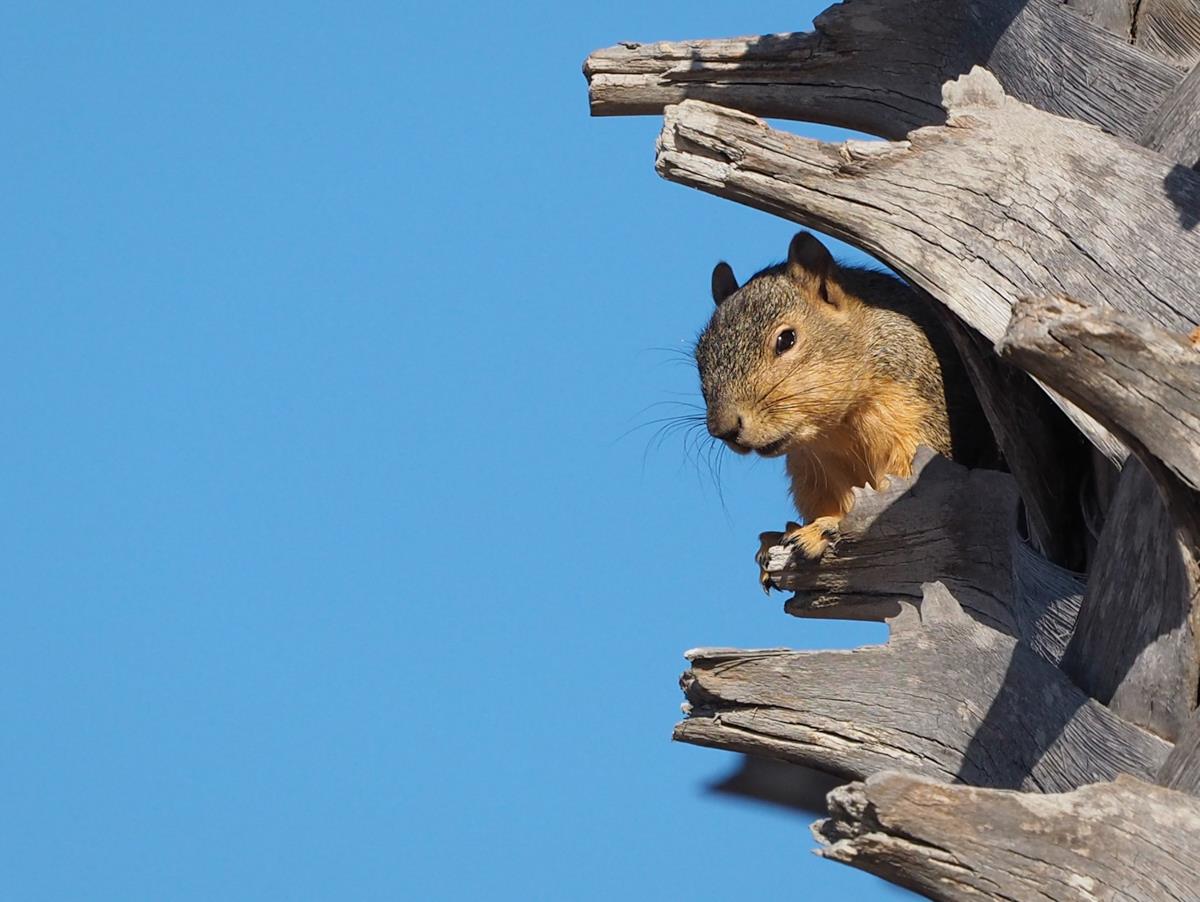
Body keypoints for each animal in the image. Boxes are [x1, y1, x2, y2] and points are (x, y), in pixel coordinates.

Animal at [700, 229, 988, 587]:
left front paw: (825, 529)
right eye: (699, 356)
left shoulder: (919, 424)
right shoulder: (814, 470)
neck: (838, 429)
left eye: (786, 339)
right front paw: (788, 533)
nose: (724, 428)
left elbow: (901, 498)